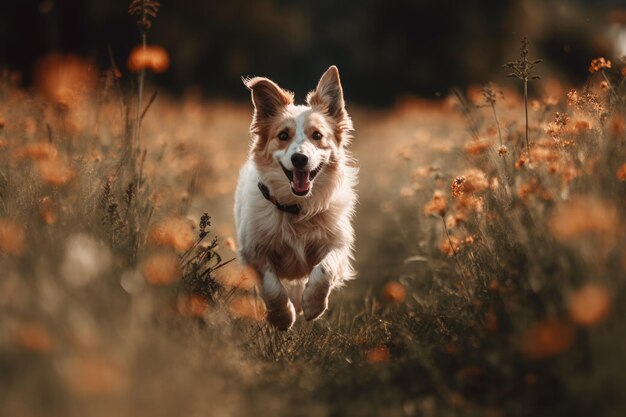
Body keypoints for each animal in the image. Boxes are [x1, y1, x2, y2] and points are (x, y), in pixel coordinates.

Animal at [233, 66, 356, 330]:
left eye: (317, 135)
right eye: (283, 135)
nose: (299, 158)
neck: (298, 206)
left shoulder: (338, 243)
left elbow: (324, 270)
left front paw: (313, 305)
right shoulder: (254, 249)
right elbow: (271, 286)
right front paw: (282, 317)